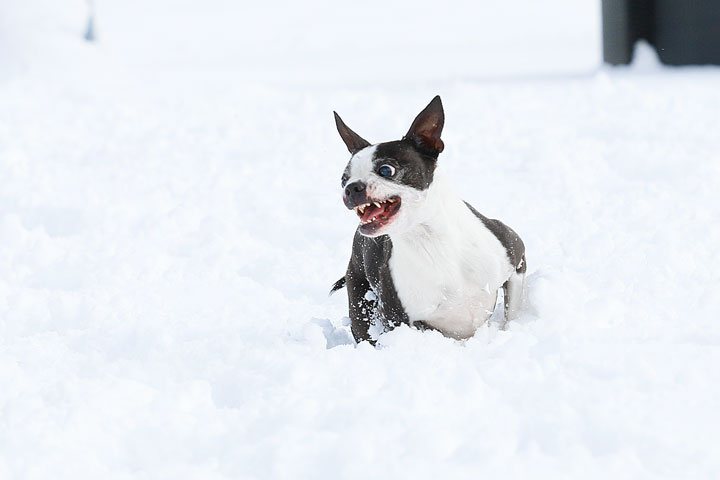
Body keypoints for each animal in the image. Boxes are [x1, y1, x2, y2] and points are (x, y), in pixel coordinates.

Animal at [330, 95, 524, 344]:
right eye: (343, 179)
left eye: (386, 170)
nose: (351, 188)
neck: (428, 237)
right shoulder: (398, 319)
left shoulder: (516, 260)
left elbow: (512, 313)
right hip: (359, 299)